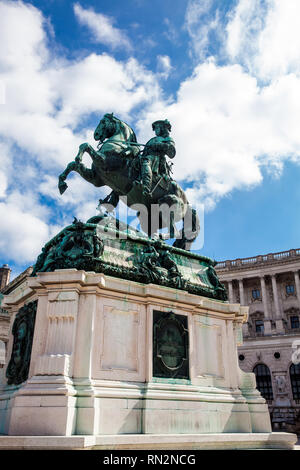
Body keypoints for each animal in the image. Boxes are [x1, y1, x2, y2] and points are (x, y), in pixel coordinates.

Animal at [58, 114, 199, 250]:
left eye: (103, 121)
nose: (96, 135)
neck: (119, 146)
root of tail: (187, 202)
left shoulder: (104, 163)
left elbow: (85, 146)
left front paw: (78, 158)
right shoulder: (96, 178)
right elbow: (72, 164)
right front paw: (62, 183)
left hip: (167, 203)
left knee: (174, 231)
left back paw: (157, 239)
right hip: (146, 215)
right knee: (154, 230)